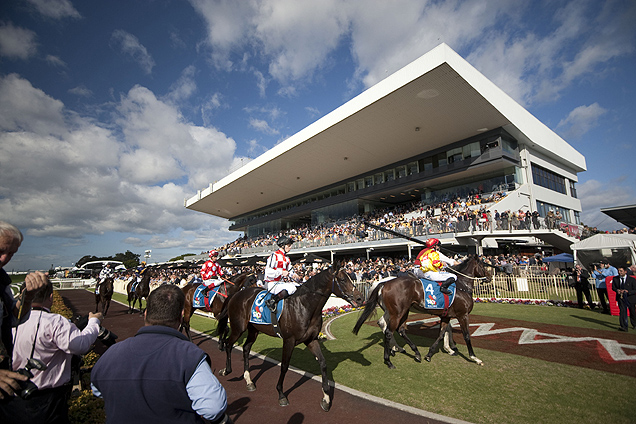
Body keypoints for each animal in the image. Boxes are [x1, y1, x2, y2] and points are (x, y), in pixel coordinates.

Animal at [216, 264, 362, 410]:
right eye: (342, 280)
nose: (360, 298)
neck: (304, 305)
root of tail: (237, 293)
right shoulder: (289, 340)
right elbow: (284, 366)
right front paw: (281, 394)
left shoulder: (311, 340)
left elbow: (323, 363)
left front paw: (326, 398)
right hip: (238, 328)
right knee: (229, 344)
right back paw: (226, 370)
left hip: (254, 330)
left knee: (246, 348)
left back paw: (249, 381)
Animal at [350, 255, 490, 368]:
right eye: (484, 265)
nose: (488, 277)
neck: (461, 286)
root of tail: (384, 284)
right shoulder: (463, 315)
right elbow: (466, 335)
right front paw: (474, 357)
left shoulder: (446, 315)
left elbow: (443, 332)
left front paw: (438, 351)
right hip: (397, 312)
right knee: (389, 330)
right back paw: (390, 357)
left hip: (399, 311)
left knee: (393, 327)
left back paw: (408, 351)